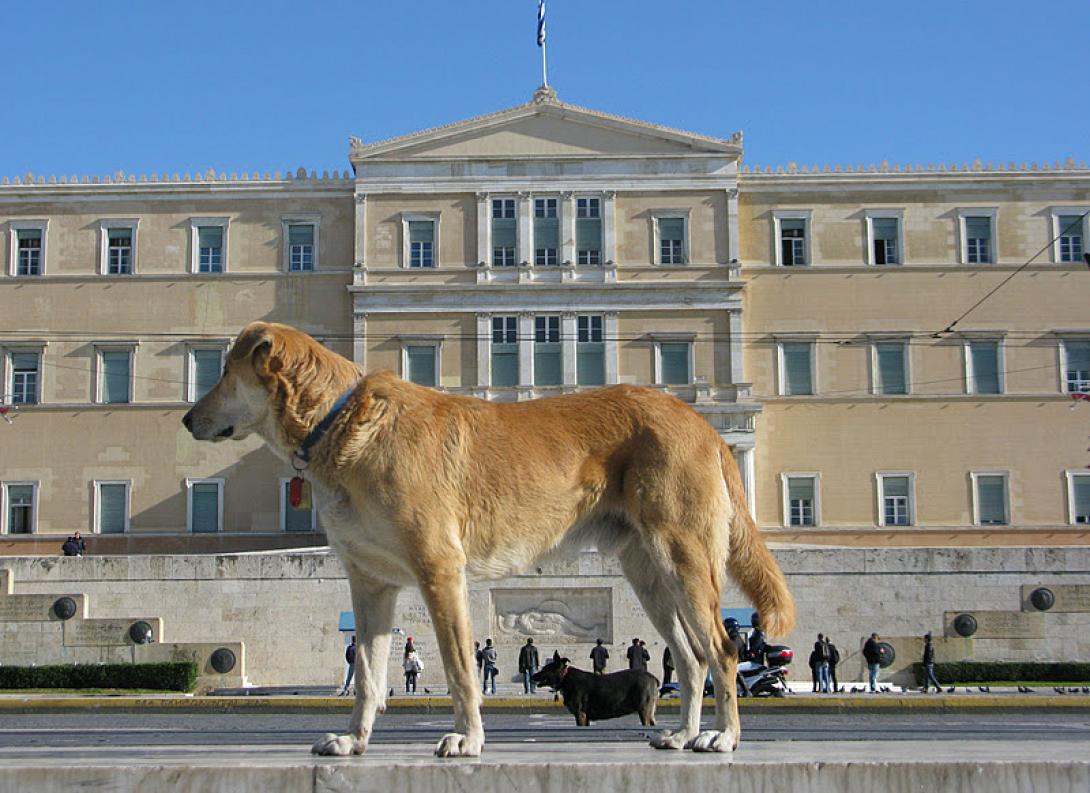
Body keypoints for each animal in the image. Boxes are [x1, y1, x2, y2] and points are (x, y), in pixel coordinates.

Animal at [178, 320, 793, 753]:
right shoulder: (371, 587)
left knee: (723, 650)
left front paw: (467, 740)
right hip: (650, 576)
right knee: (690, 660)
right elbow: (369, 679)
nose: (186, 420)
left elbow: (459, 671)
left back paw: (722, 737)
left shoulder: (440, 573)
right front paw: (354, 741)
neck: (342, 423)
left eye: (226, 372)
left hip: (684, 562)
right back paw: (682, 733)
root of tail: (701, 422)